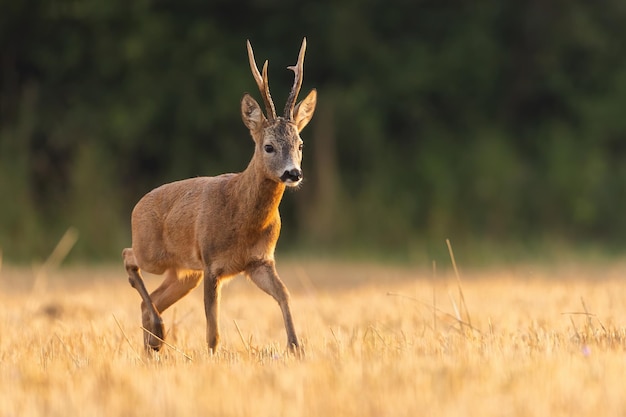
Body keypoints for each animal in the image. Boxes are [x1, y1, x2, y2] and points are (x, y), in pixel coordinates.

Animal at [120, 38, 316, 352]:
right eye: (269, 146)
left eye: (300, 144)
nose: (293, 173)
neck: (242, 217)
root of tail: (137, 205)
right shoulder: (212, 264)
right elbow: (212, 330)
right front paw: (213, 356)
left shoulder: (259, 261)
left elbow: (284, 295)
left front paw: (296, 348)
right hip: (153, 253)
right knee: (128, 256)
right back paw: (157, 332)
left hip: (185, 272)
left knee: (151, 302)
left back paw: (154, 343)